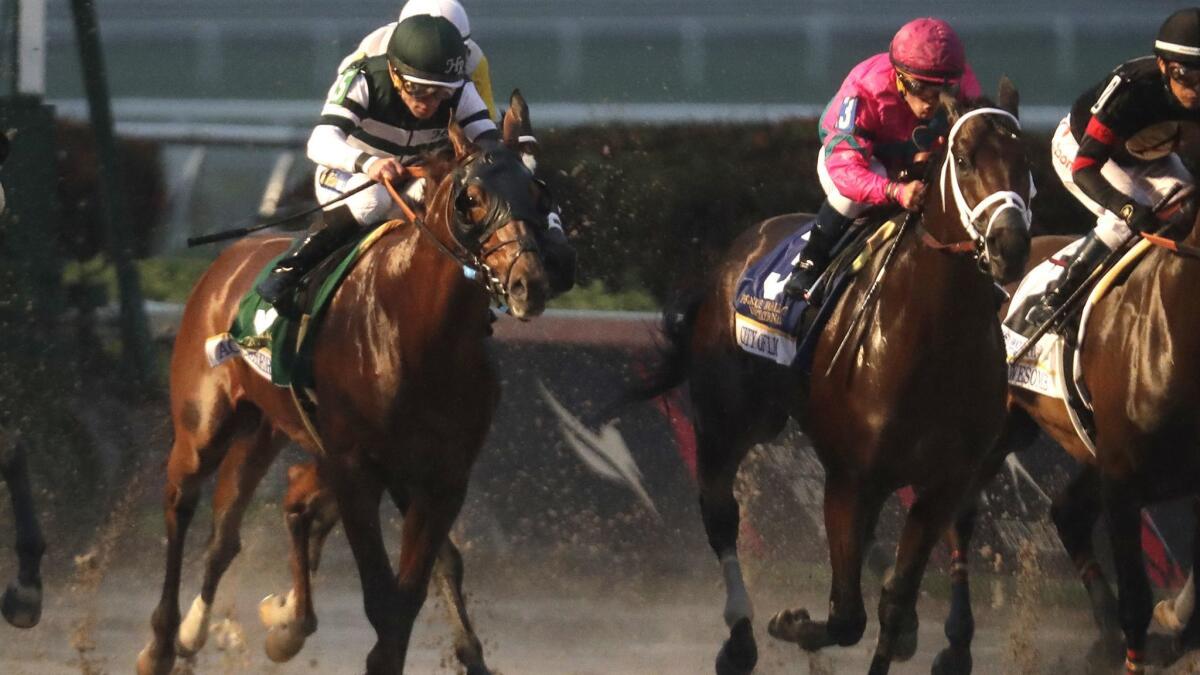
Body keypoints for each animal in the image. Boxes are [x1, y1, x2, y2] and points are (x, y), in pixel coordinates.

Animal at [138, 115, 549, 672]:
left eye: (538, 189)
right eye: (471, 199)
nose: (530, 282)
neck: (420, 333)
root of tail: (226, 263)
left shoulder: (440, 477)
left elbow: (418, 584)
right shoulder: (357, 469)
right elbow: (382, 597)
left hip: (266, 430)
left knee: (232, 527)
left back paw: (204, 628)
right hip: (203, 426)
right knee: (181, 505)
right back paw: (163, 642)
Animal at [609, 84, 1032, 672]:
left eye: (1025, 161)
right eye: (966, 160)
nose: (1011, 245)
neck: (931, 338)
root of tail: (729, 259)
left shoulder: (943, 484)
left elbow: (893, 606)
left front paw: (900, 626)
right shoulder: (851, 479)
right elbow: (847, 616)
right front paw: (793, 625)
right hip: (727, 419)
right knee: (720, 514)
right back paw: (739, 638)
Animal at [931, 192, 1200, 667]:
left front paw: (1176, 622)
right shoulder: (1122, 478)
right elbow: (1137, 601)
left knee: (1067, 512)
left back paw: (1107, 635)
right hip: (999, 429)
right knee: (960, 512)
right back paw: (957, 641)